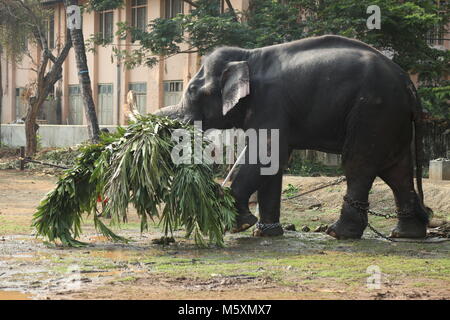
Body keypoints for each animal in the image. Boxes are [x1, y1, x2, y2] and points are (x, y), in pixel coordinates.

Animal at [156, 35, 430, 240]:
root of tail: (409, 84)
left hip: (373, 111)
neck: (248, 55)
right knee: (397, 170)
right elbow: (273, 160)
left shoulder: (270, 101)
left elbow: (267, 153)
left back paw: (339, 233)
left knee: (359, 163)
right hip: (390, 118)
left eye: (192, 91)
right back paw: (406, 234)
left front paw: (237, 225)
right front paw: (265, 233)